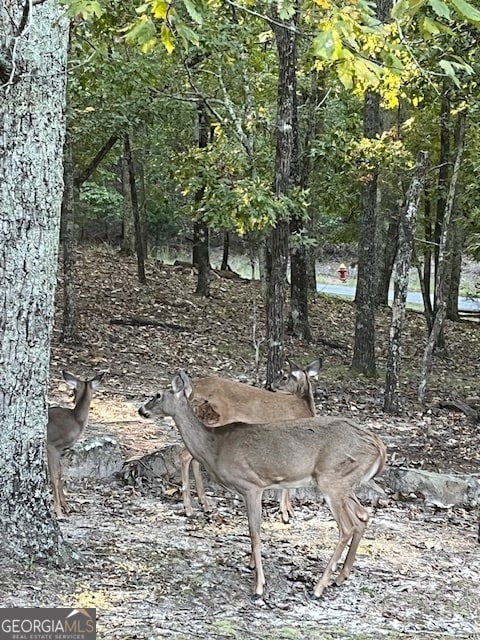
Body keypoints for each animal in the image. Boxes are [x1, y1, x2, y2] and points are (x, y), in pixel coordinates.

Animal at [47, 370, 106, 520]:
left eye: (74, 390)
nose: (72, 399)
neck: (76, 420)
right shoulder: (51, 446)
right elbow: (54, 477)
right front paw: (58, 512)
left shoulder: (60, 450)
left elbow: (60, 473)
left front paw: (67, 507)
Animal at [174, 358, 320, 524]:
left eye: (284, 377)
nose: (271, 385)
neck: (305, 406)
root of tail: (192, 389)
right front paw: (285, 514)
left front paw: (289, 510)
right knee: (184, 454)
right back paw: (188, 509)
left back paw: (203, 504)